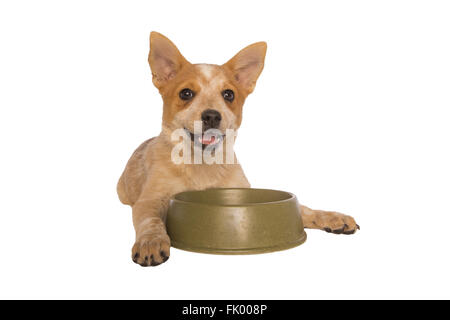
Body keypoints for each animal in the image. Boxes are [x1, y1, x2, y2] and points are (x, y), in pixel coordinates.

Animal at [117, 33, 358, 268]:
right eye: (185, 93)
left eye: (228, 94)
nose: (212, 115)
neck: (202, 165)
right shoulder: (148, 201)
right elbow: (151, 221)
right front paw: (151, 242)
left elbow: (304, 209)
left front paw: (333, 217)